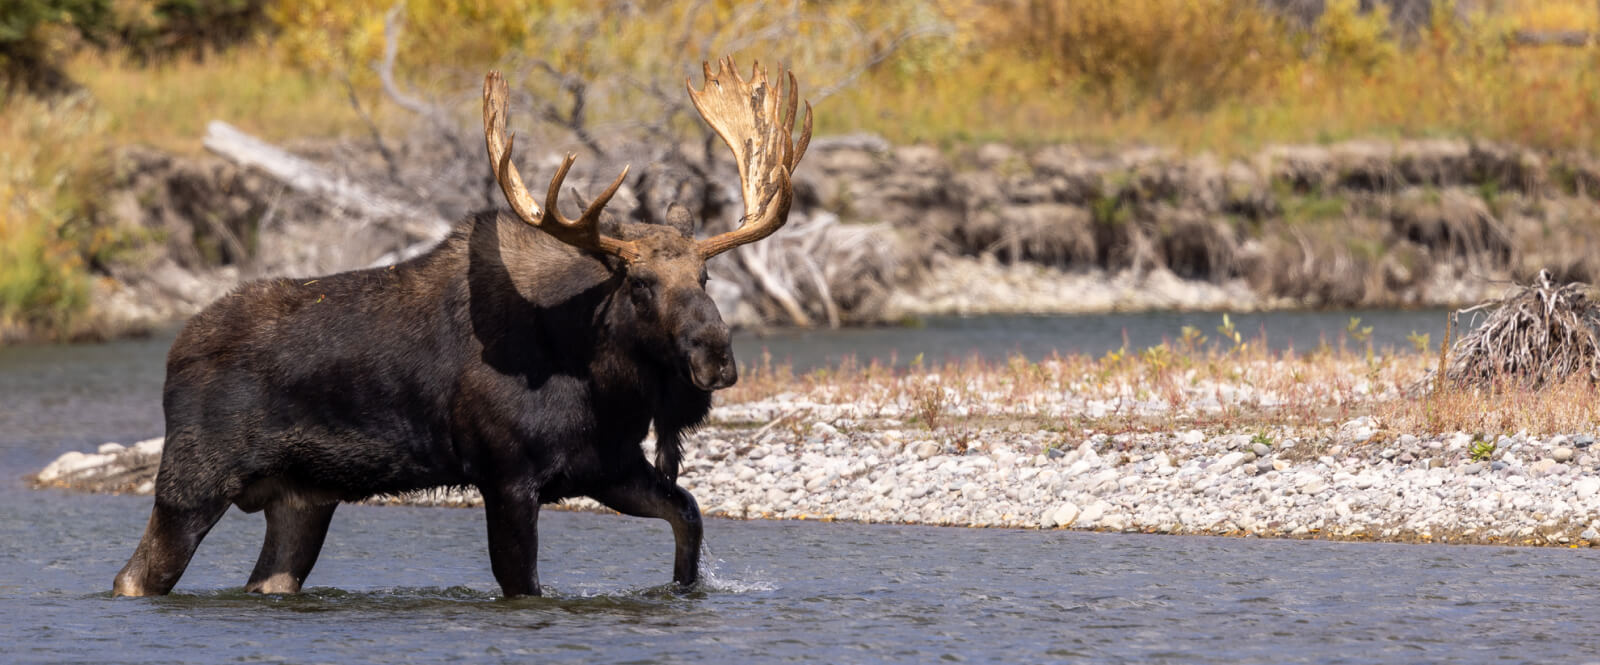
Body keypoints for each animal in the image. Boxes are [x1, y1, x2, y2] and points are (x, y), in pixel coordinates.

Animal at [112, 57, 812, 597]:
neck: (604, 383)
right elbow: (524, 584)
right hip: (193, 483)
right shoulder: (506, 475)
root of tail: (174, 353)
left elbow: (688, 517)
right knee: (133, 577)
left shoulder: (607, 465)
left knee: (267, 581)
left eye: (706, 277)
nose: (715, 358)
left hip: (302, 498)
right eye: (639, 284)